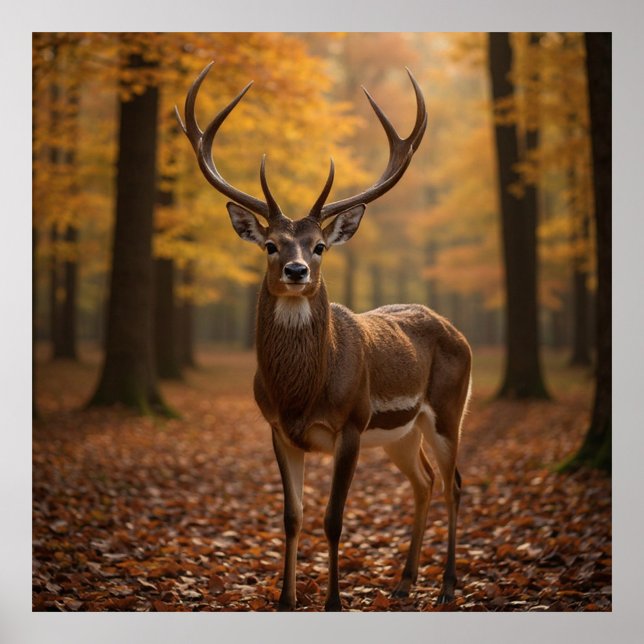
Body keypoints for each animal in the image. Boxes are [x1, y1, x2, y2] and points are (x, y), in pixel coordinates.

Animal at [176, 62, 472, 612]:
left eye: (318, 246)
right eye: (270, 245)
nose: (296, 270)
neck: (302, 393)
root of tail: (456, 332)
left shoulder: (352, 421)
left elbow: (334, 519)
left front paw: (334, 601)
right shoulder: (276, 427)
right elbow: (292, 516)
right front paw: (285, 600)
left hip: (448, 408)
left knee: (453, 484)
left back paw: (445, 586)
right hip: (400, 433)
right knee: (423, 482)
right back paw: (404, 582)